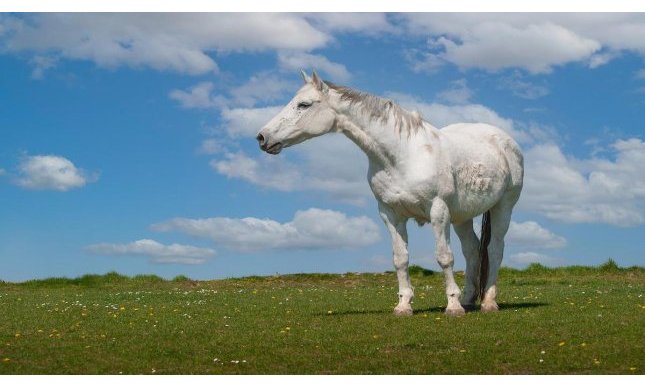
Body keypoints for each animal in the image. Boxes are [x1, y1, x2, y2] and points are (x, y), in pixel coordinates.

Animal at [256, 71, 524, 316]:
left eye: (304, 104)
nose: (262, 137)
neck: (402, 156)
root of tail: (505, 141)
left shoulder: (438, 211)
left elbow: (444, 256)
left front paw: (453, 306)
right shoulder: (390, 214)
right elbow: (400, 259)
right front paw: (404, 305)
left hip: (503, 208)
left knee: (494, 249)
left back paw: (488, 302)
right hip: (462, 217)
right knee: (472, 251)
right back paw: (469, 299)